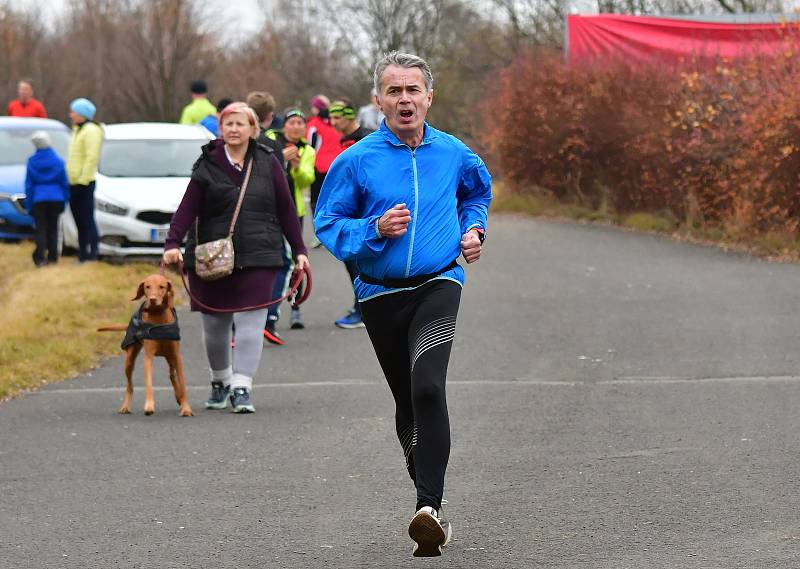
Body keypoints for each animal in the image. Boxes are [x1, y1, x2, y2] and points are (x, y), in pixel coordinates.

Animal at [97, 276, 193, 418]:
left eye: (161, 287)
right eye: (147, 286)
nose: (152, 299)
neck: (158, 315)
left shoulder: (177, 356)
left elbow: (183, 383)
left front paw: (186, 408)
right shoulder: (148, 357)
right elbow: (148, 384)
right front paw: (149, 406)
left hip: (170, 356)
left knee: (172, 374)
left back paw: (178, 397)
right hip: (129, 361)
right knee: (130, 386)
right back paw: (125, 406)